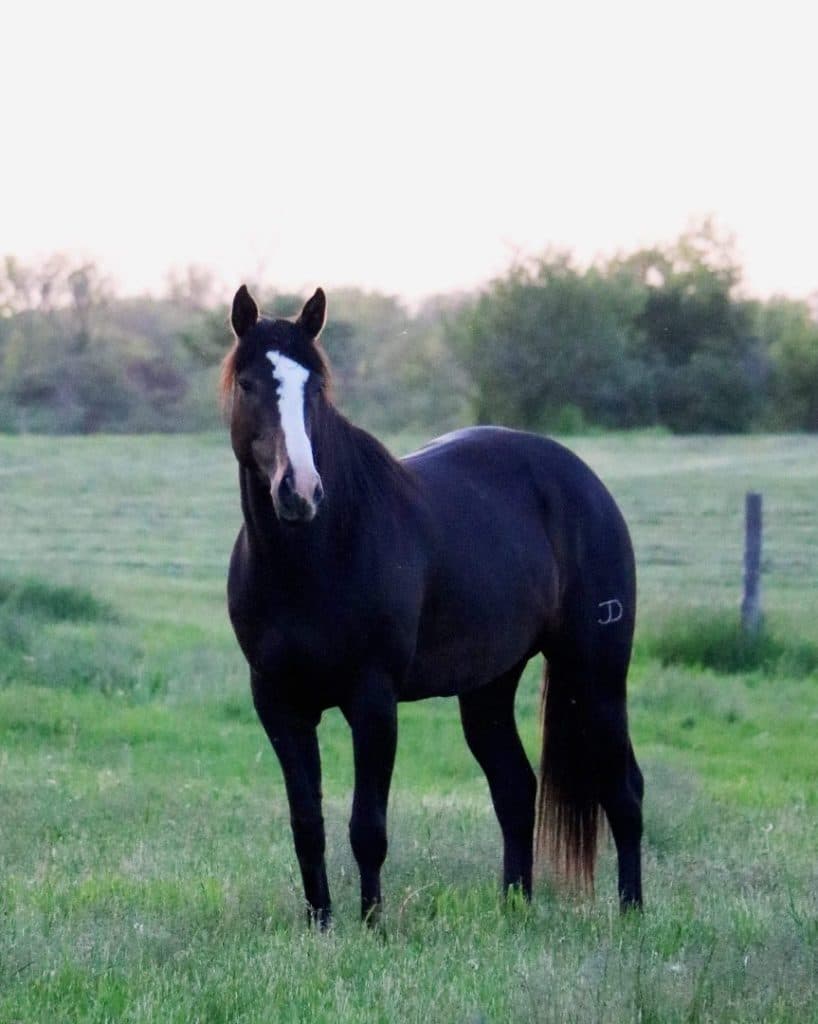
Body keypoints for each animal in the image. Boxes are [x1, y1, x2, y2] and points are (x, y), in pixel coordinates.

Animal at [222, 285, 643, 927]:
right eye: (247, 384)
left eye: (314, 388)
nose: (300, 491)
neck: (316, 555)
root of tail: (586, 484)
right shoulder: (278, 704)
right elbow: (307, 825)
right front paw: (321, 925)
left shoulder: (373, 701)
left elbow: (367, 828)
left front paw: (372, 926)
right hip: (489, 688)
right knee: (516, 789)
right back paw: (514, 909)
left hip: (595, 676)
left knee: (623, 790)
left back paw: (633, 914)